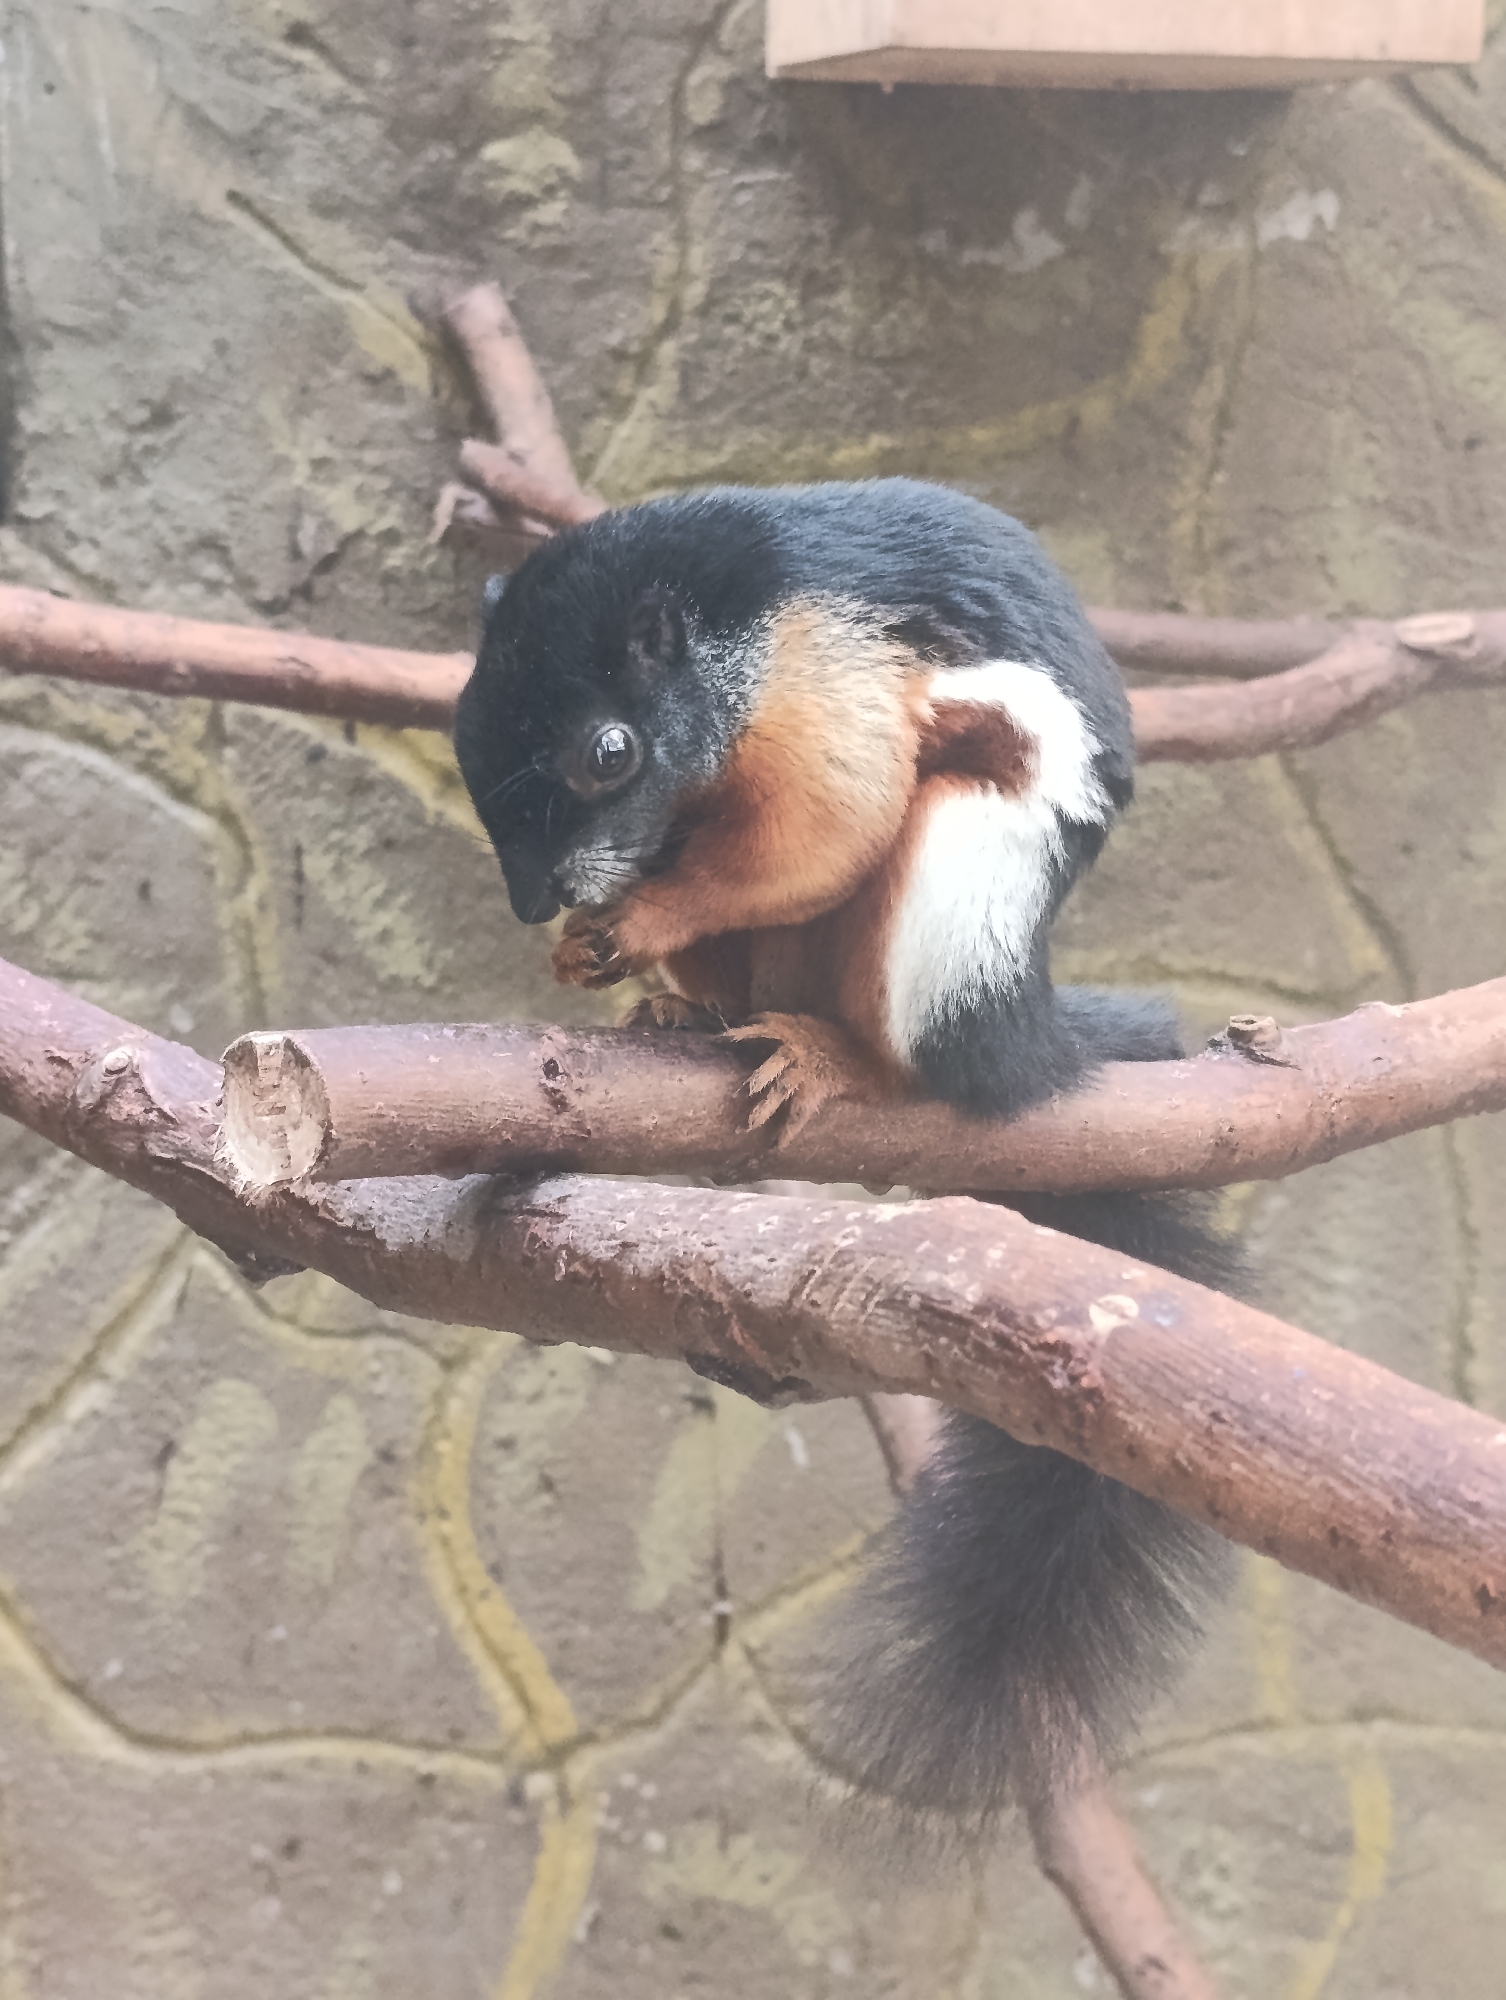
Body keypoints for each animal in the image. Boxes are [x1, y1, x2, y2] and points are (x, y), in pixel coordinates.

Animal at [454, 477, 1241, 1831]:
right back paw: (688, 1015)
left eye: (608, 752)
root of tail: (1020, 1037)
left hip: (956, 892)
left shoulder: (825, 690)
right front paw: (589, 951)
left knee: (904, 981)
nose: (530, 899)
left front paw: (635, 920)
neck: (723, 633)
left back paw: (836, 1061)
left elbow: (829, 824)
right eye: (462, 729)